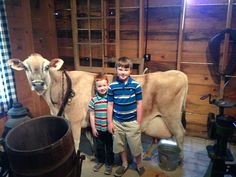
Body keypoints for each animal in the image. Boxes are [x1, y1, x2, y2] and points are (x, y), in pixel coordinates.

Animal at [7, 53, 188, 160]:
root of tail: (178, 73)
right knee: (158, 138)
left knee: (180, 134)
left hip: (171, 116)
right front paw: (95, 153)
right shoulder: (86, 120)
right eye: (25, 67)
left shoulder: (74, 121)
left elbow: (76, 142)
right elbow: (90, 137)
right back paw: (148, 154)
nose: (38, 84)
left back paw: (179, 160)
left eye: (46, 67)